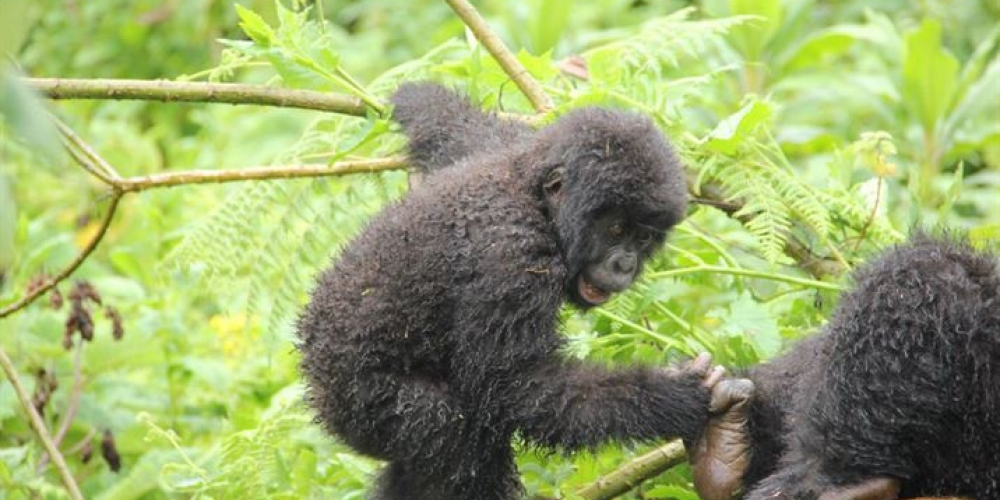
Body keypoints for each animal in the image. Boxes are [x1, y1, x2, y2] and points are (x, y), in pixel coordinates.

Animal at [296, 83, 720, 500]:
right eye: (616, 228)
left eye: (643, 237)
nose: (625, 266)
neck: (536, 201)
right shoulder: (512, 259)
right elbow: (515, 387)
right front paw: (674, 395)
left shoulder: (509, 145)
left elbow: (455, 127)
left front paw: (409, 96)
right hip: (360, 399)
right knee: (453, 430)